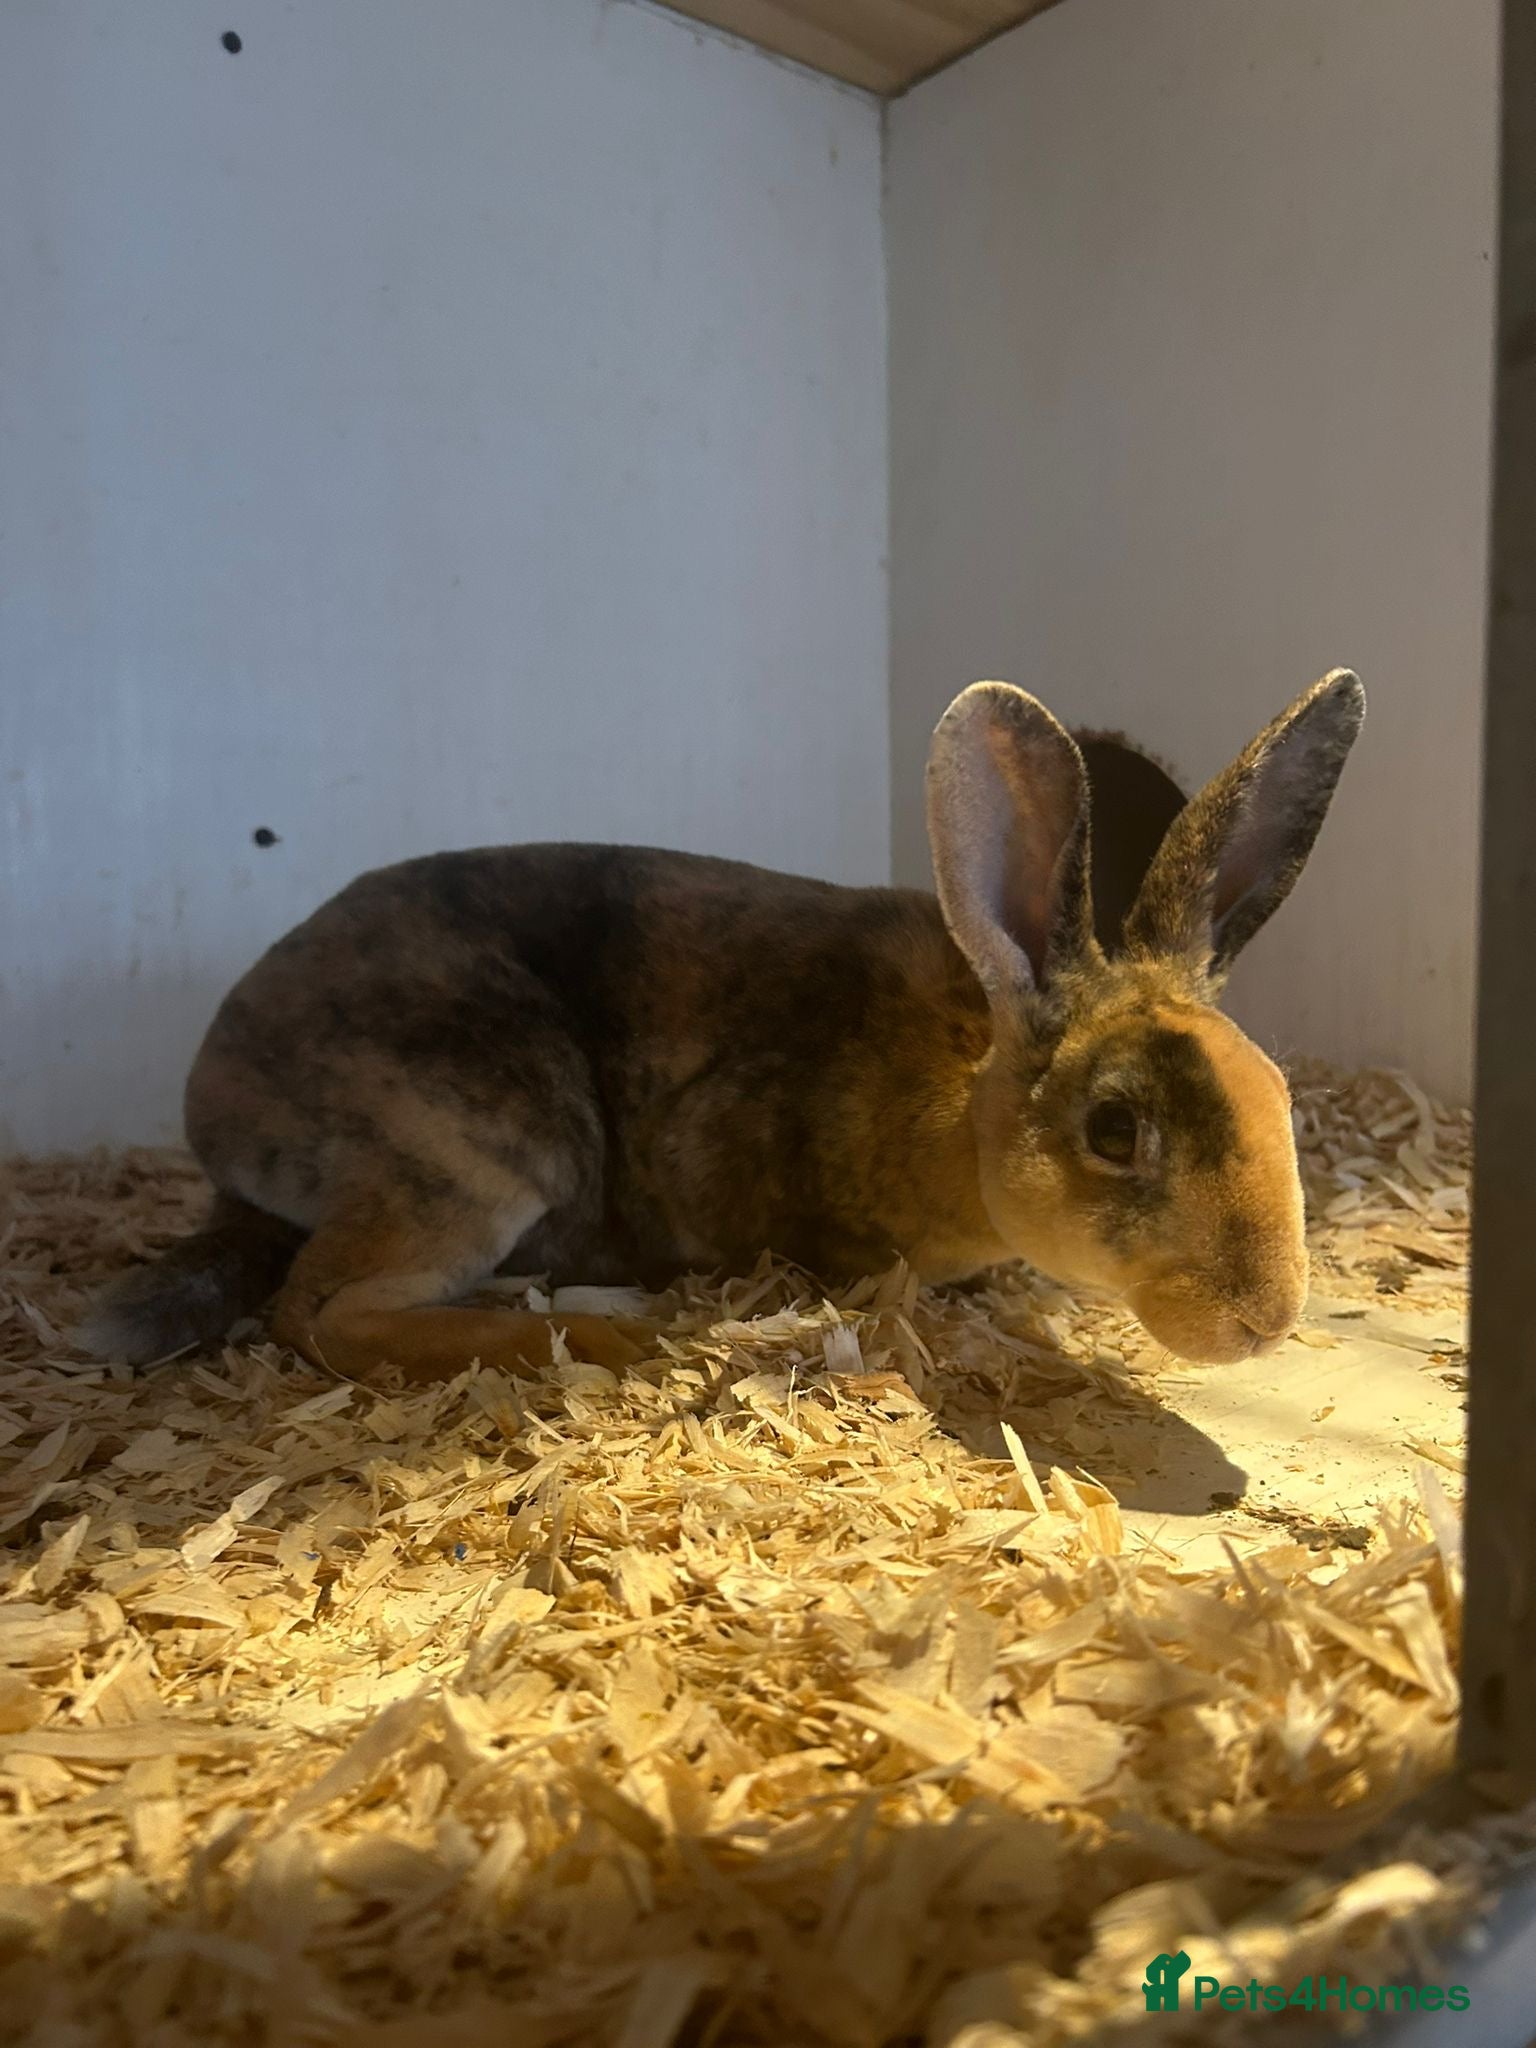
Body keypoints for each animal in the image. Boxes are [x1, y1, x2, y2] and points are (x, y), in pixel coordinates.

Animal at [80, 669, 1363, 1382]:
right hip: (487, 1147)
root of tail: (217, 1101)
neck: (961, 1096)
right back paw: (604, 1339)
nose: (1264, 1318)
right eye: (1112, 1128)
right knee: (322, 1312)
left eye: (1279, 1098)